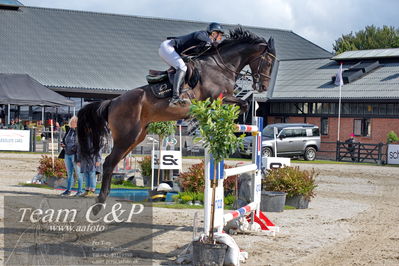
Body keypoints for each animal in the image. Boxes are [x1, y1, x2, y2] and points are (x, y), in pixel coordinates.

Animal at [78, 28, 278, 213]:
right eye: (268, 62)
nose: (262, 86)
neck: (221, 66)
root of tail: (113, 102)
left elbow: (243, 104)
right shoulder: (216, 97)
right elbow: (241, 103)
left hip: (136, 137)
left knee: (113, 162)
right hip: (126, 136)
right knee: (108, 162)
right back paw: (99, 203)